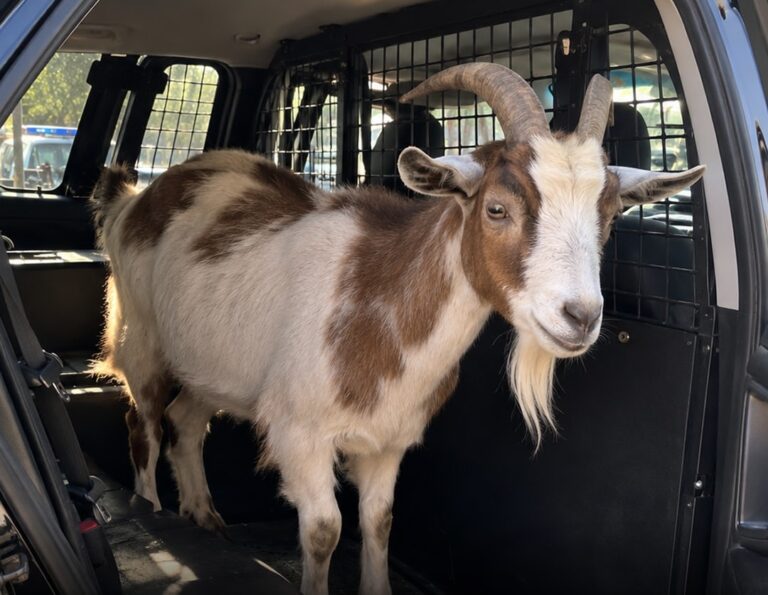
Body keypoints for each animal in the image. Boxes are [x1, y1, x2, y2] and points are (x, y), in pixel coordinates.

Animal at [91, 64, 705, 595]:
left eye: (609, 217)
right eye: (497, 209)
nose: (580, 316)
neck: (375, 307)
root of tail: (136, 199)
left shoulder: (388, 440)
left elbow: (380, 520)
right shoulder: (299, 433)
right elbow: (324, 530)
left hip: (211, 364)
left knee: (186, 423)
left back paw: (204, 519)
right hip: (142, 336)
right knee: (143, 423)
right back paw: (150, 513)